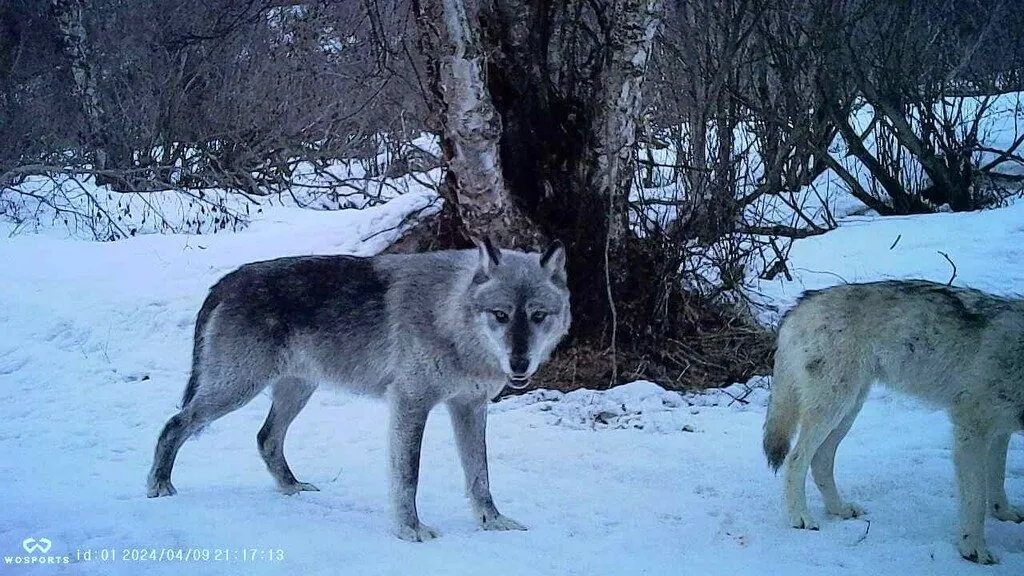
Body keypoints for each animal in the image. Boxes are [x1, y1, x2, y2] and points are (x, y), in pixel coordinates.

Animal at [147, 238, 571, 542]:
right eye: (500, 315)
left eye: (538, 316)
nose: (520, 364)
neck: (448, 316)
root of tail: (227, 281)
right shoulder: (410, 405)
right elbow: (408, 477)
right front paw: (410, 531)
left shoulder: (470, 406)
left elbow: (480, 476)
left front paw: (492, 522)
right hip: (236, 390)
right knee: (174, 424)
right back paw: (159, 485)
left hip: (296, 391)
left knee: (266, 437)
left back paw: (292, 487)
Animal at [763, 280, 1024, 564]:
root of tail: (801, 303)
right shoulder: (971, 428)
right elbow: (976, 499)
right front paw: (974, 549)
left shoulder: (1001, 430)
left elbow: (997, 479)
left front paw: (1004, 513)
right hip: (833, 408)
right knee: (796, 459)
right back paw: (801, 518)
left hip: (849, 409)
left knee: (820, 460)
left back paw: (839, 509)